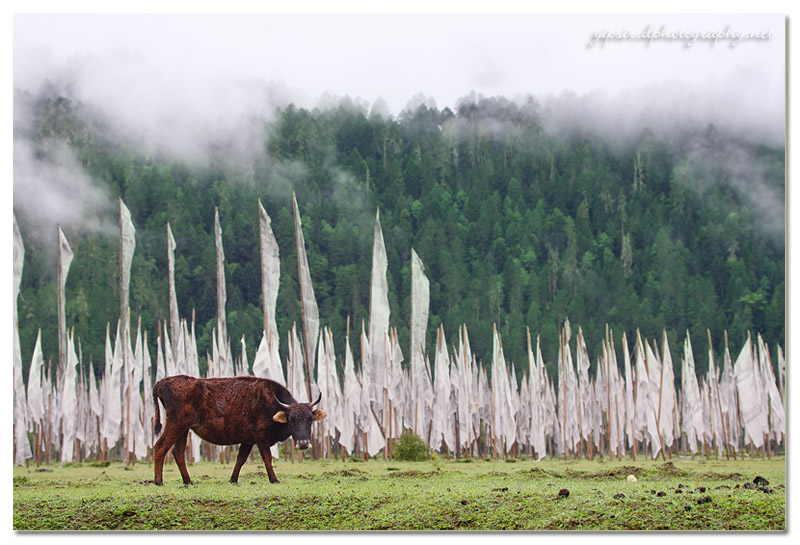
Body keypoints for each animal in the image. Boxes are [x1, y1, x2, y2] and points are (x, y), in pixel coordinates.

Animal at [152, 374, 326, 484]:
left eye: (310, 419)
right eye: (291, 420)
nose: (303, 443)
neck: (272, 403)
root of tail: (162, 383)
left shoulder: (247, 440)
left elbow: (240, 459)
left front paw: (233, 480)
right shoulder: (260, 435)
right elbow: (267, 457)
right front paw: (274, 479)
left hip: (184, 429)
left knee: (177, 452)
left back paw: (188, 481)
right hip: (175, 425)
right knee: (160, 447)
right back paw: (158, 481)